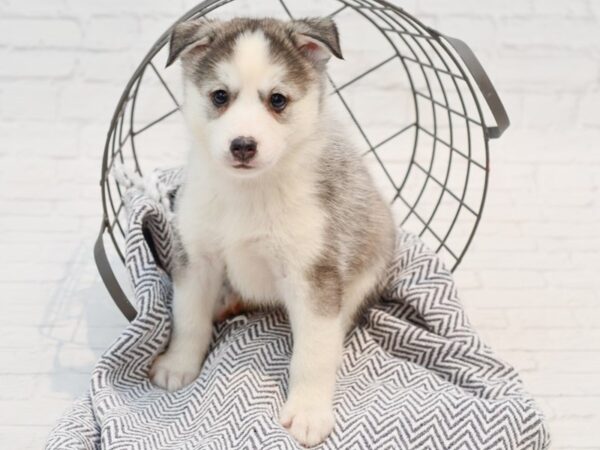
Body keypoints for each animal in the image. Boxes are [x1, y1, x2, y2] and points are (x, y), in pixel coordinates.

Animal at [150, 17, 396, 446]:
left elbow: (313, 353)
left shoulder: (312, 274)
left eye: (277, 100)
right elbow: (188, 317)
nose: (243, 145)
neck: (247, 193)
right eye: (220, 96)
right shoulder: (196, 259)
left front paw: (309, 411)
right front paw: (179, 364)